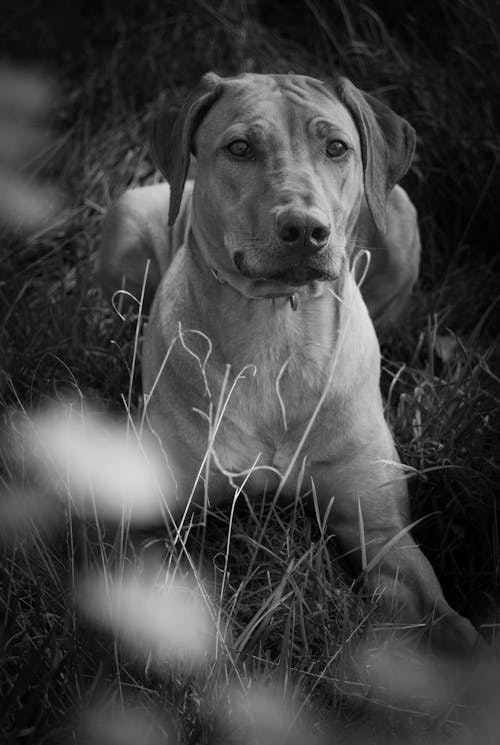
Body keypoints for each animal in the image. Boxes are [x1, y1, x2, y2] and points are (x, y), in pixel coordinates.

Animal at [100, 72, 480, 652]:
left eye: (337, 147)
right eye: (239, 148)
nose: (305, 228)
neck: (278, 327)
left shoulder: (383, 534)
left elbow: (449, 625)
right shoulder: (150, 526)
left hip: (400, 215)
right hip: (127, 221)